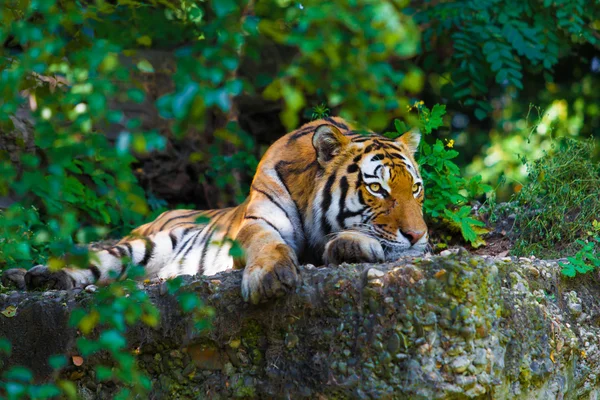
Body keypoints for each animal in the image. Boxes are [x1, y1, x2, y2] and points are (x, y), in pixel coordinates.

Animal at [2, 117, 428, 304]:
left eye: (416, 189)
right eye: (376, 188)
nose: (418, 236)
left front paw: (357, 245)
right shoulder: (256, 225)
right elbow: (268, 246)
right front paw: (271, 278)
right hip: (143, 245)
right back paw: (39, 276)